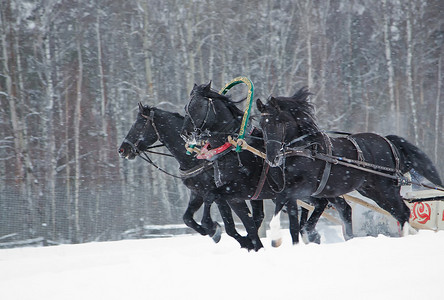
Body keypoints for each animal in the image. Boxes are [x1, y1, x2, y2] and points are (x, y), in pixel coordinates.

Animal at [118, 104, 266, 250]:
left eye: (138, 125)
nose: (122, 150)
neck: (196, 158)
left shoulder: (219, 194)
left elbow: (229, 227)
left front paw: (231, 237)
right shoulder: (197, 193)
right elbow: (187, 218)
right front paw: (211, 231)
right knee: (258, 216)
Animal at [180, 82, 354, 244]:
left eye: (198, 106)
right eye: (186, 107)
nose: (185, 133)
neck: (233, 149)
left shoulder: (240, 191)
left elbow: (216, 199)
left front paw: (212, 228)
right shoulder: (234, 196)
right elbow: (238, 223)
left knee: (338, 206)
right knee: (336, 206)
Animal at [255, 85, 442, 233]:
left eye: (279, 123)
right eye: (262, 125)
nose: (272, 157)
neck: (306, 148)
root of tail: (389, 142)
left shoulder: (303, 187)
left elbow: (283, 200)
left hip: (386, 189)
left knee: (403, 213)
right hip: (372, 191)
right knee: (399, 213)